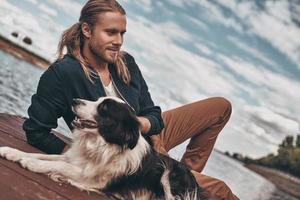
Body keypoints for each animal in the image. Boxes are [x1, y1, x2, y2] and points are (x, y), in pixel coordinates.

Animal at [0, 96, 207, 198]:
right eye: (97, 100)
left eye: (105, 108)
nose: (74, 101)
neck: (103, 144)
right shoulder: (76, 158)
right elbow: (47, 156)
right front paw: (12, 152)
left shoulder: (94, 178)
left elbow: (60, 165)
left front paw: (31, 163)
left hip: (169, 176)